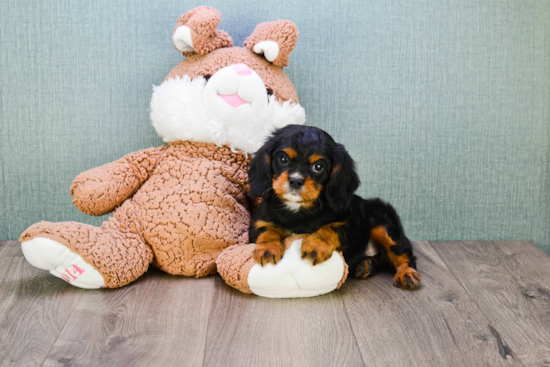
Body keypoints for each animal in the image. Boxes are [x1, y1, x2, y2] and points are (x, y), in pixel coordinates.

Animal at [249, 125, 422, 288]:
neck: (297, 208)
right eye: (283, 159)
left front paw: (315, 245)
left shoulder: (350, 224)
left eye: (318, 166)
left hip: (383, 224)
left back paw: (406, 273)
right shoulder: (260, 220)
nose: (296, 181)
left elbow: (329, 228)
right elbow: (267, 230)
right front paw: (268, 248)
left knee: (403, 253)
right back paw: (367, 266)